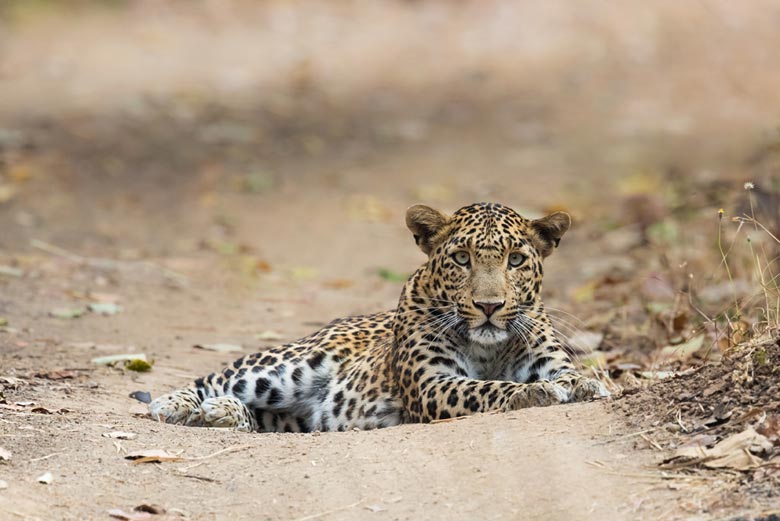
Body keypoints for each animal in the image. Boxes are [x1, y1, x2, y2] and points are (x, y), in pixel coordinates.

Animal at [148, 201, 608, 432]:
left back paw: (225, 414)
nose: (489, 306)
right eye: (461, 259)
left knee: (260, 416)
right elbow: (486, 389)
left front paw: (587, 385)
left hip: (290, 414)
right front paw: (534, 393)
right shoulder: (431, 384)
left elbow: (570, 376)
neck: (489, 348)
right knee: (211, 379)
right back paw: (176, 406)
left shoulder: (549, 360)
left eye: (515, 260)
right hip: (286, 366)